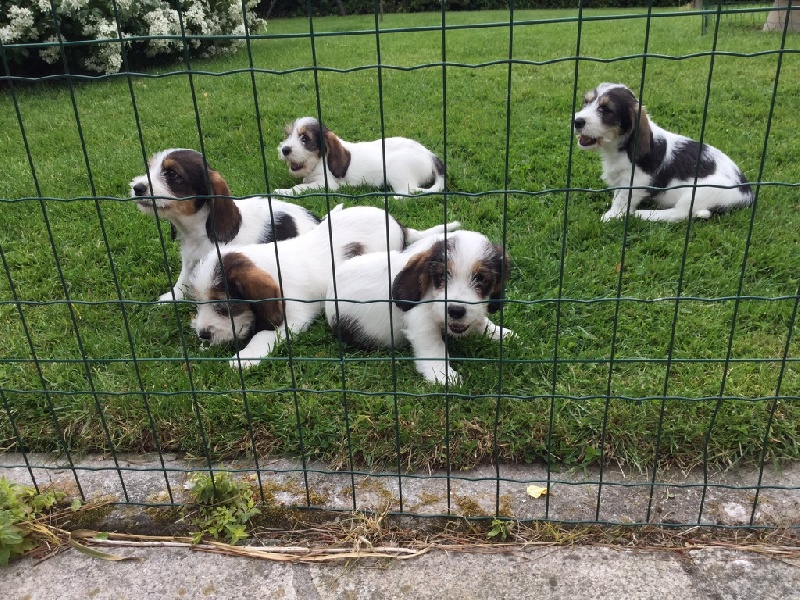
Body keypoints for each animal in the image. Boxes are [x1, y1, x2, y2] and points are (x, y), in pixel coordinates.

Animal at [131, 148, 318, 300]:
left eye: (171, 173)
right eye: (149, 168)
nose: (137, 188)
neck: (196, 231)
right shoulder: (189, 259)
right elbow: (182, 279)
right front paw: (171, 298)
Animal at [190, 204, 460, 368]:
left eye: (223, 306)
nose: (202, 334)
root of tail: (397, 224)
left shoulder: (294, 318)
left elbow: (264, 335)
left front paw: (244, 358)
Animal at [276, 116, 446, 199]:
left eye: (305, 138)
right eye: (288, 135)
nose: (285, 150)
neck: (318, 163)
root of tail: (429, 155)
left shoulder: (328, 185)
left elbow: (299, 187)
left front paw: (282, 191)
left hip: (395, 169)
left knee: (409, 192)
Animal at [324, 230, 512, 384]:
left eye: (481, 278)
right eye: (442, 275)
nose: (456, 311)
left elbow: (480, 320)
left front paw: (500, 333)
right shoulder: (422, 322)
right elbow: (434, 348)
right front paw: (443, 376)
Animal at [572, 82, 752, 223]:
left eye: (606, 109)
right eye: (586, 102)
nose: (577, 121)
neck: (620, 147)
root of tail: (748, 193)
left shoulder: (636, 180)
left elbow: (622, 199)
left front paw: (613, 215)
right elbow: (618, 194)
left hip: (701, 191)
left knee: (680, 213)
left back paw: (643, 214)